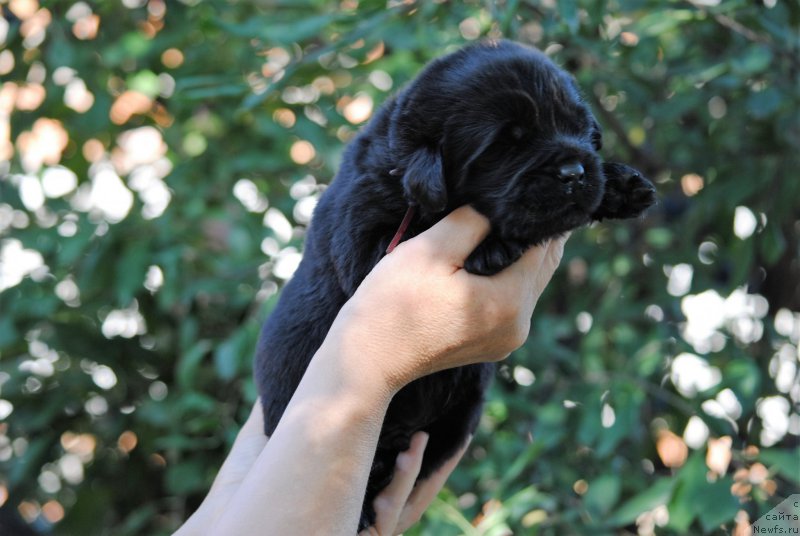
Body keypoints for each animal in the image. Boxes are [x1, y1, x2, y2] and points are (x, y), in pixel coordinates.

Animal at [256, 39, 656, 528]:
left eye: (580, 129)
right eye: (507, 144)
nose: (574, 173)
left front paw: (622, 185)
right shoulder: (368, 241)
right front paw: (494, 245)